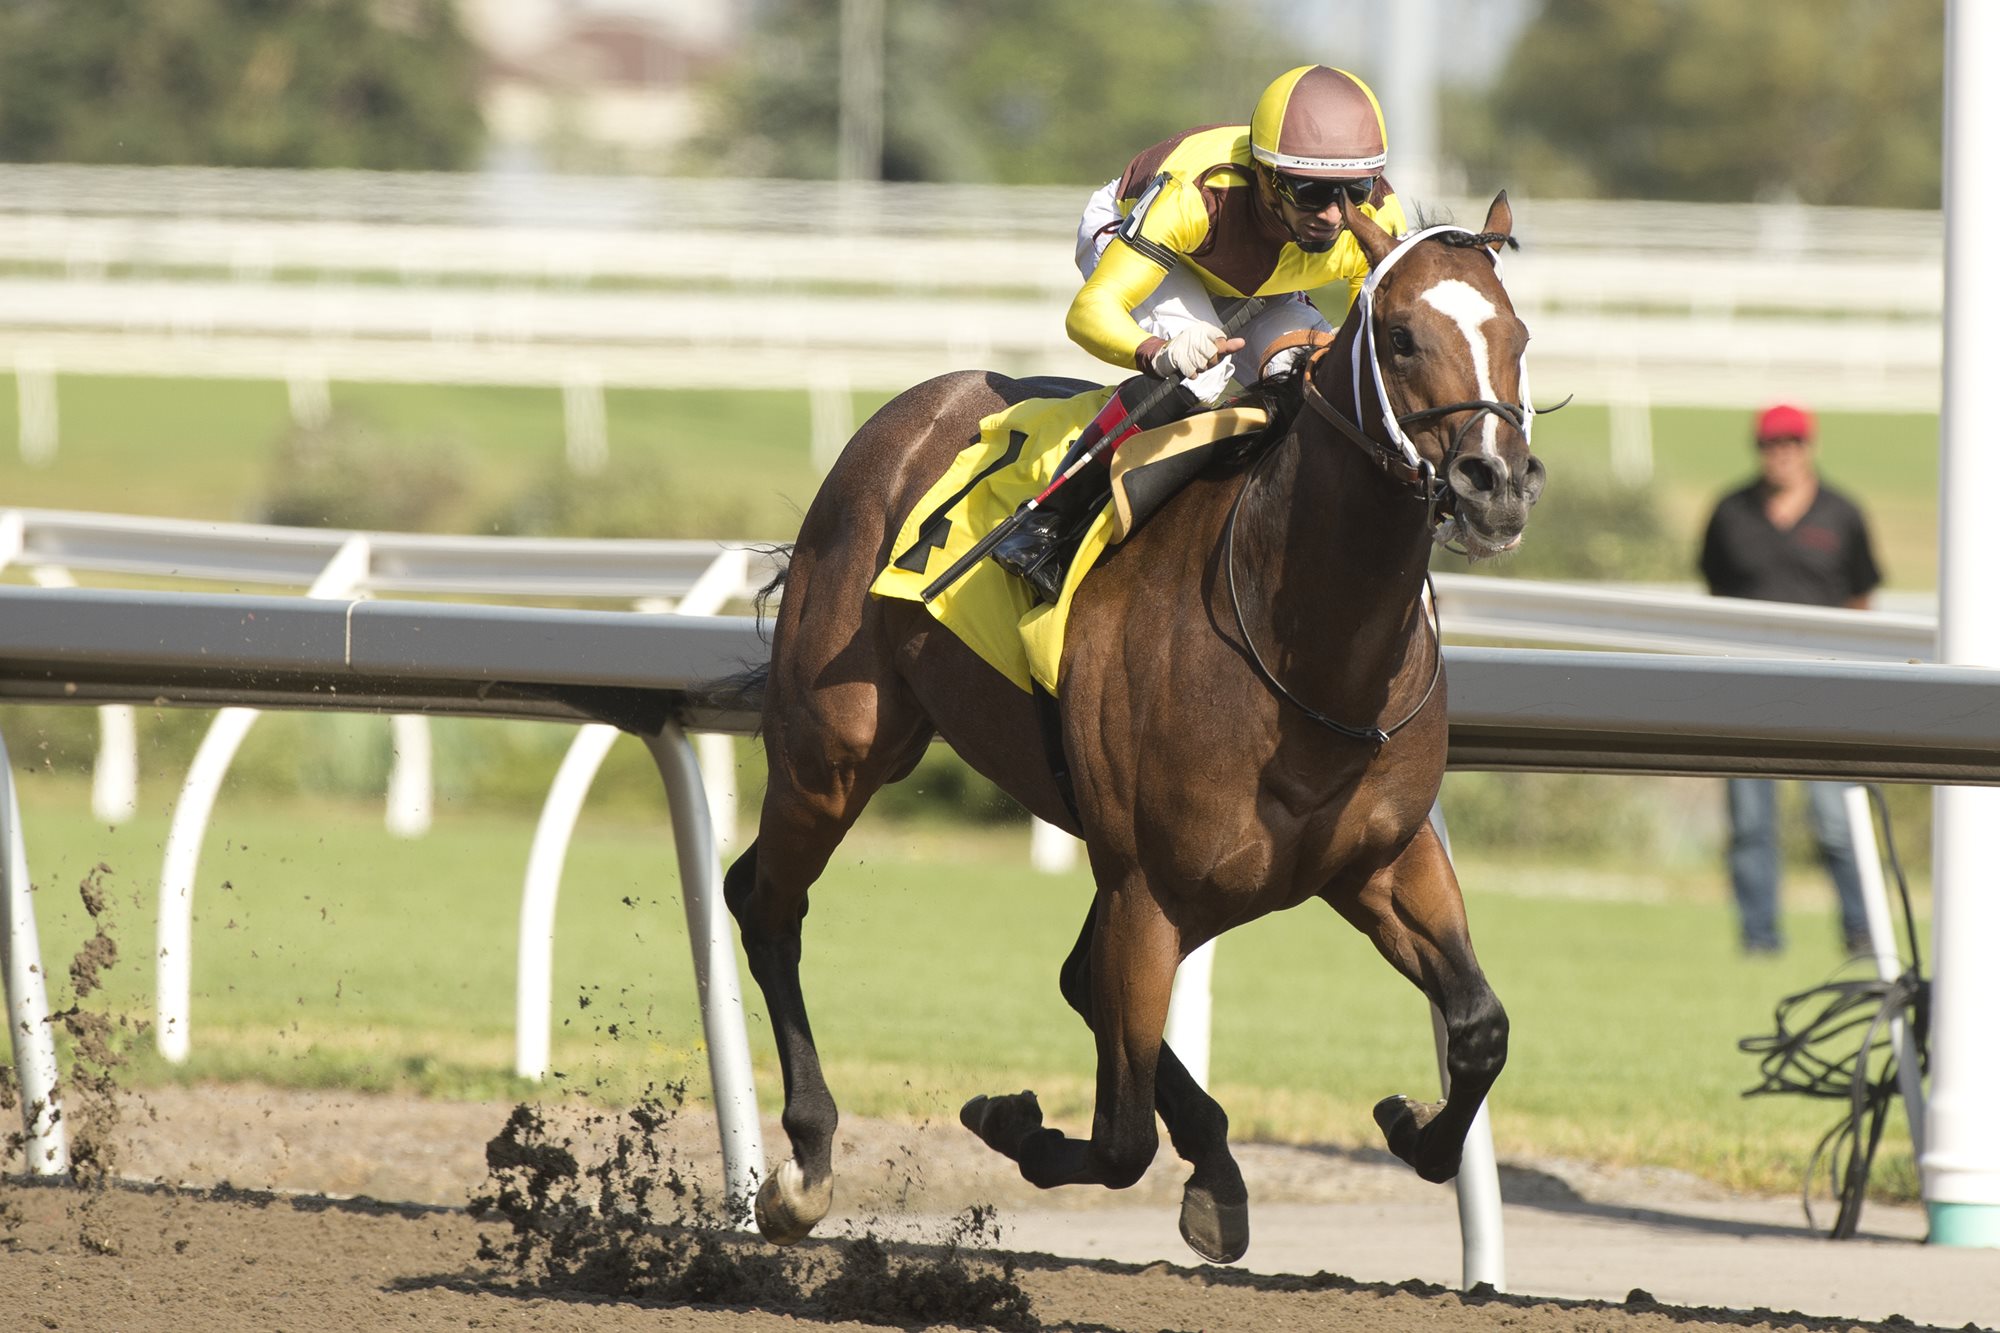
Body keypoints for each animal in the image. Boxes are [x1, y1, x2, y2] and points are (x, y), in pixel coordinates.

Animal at [724, 192, 1544, 1264]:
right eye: (1402, 337)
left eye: (1519, 337)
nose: (1497, 485)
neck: (1309, 652)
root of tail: (908, 412)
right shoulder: (1149, 887)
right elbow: (1118, 1137)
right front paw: (1016, 1123)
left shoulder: (1381, 860)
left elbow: (1482, 1026)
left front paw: (1410, 1123)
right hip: (836, 749)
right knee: (766, 900)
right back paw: (804, 1167)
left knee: (1074, 975)